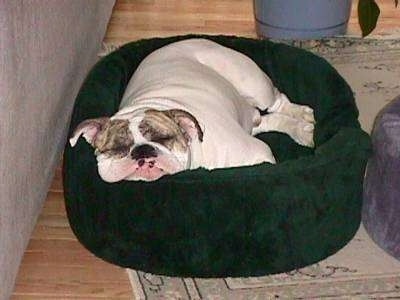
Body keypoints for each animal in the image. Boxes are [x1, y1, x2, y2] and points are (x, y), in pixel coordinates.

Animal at [69, 38, 316, 182]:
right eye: (117, 148)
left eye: (164, 138)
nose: (142, 151)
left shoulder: (256, 154)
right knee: (267, 120)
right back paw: (302, 130)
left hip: (252, 83)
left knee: (278, 101)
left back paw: (301, 116)